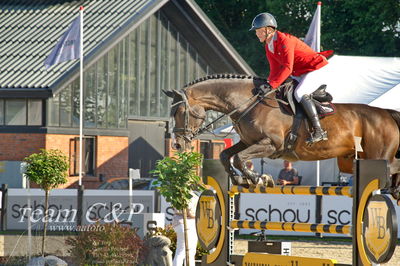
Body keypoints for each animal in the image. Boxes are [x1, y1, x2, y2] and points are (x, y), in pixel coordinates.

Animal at [164, 73, 400, 197]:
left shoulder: (270, 144)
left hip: (379, 156)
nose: (177, 145)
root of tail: (387, 113)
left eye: (180, 112)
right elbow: (226, 156)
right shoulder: (249, 141)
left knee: (392, 169)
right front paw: (241, 179)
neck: (248, 103)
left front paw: (259, 178)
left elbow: (239, 158)